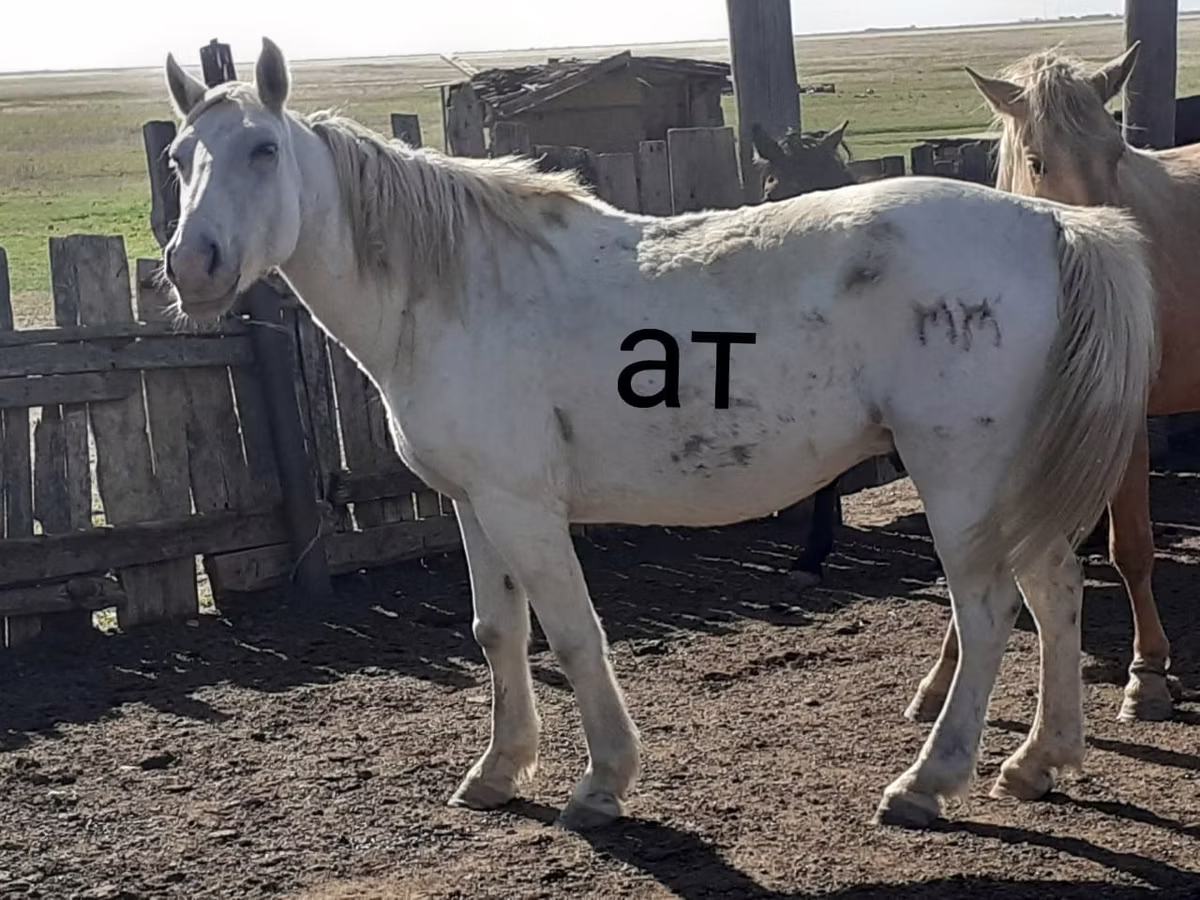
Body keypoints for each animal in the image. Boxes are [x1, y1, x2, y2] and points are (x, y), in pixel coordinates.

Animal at [160, 37, 1157, 831]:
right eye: (176, 157)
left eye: (261, 149)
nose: (190, 264)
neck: (460, 290)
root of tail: (1053, 223)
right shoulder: (478, 507)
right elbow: (496, 631)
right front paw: (497, 770)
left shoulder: (524, 508)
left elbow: (572, 635)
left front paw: (601, 781)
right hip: (1011, 483)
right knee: (1056, 589)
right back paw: (1039, 761)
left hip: (962, 478)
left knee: (988, 614)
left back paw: (926, 782)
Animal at [895, 42, 1200, 728]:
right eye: (1037, 162)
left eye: (1117, 153)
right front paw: (938, 680)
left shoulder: (1123, 422)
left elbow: (1131, 547)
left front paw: (1147, 675)